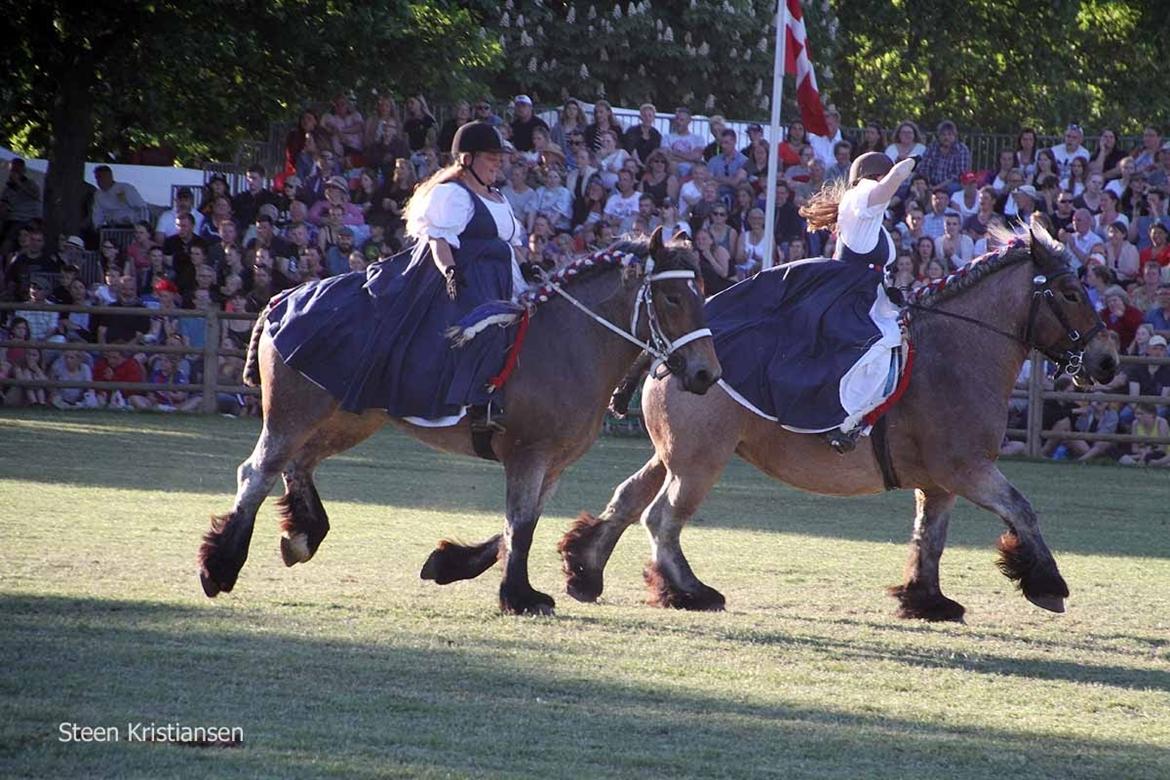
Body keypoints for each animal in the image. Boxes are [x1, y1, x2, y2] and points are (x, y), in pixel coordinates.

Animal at [196, 226, 716, 617]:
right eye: (672, 296)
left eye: (701, 292)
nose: (707, 373)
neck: (571, 343)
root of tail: (283, 298)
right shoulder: (529, 455)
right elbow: (519, 524)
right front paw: (518, 596)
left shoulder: (554, 462)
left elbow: (520, 523)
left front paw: (451, 564)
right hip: (293, 413)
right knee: (258, 472)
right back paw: (220, 566)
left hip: (348, 419)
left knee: (297, 465)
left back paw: (302, 534)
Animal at [559, 226, 1123, 622]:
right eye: (1071, 293)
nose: (1107, 360)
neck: (958, 350)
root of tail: (669, 350)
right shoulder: (968, 470)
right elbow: (1022, 510)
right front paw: (1047, 583)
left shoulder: (941, 482)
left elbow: (930, 538)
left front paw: (926, 600)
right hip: (699, 463)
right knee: (662, 519)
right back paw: (687, 591)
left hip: (674, 455)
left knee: (629, 499)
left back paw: (586, 569)